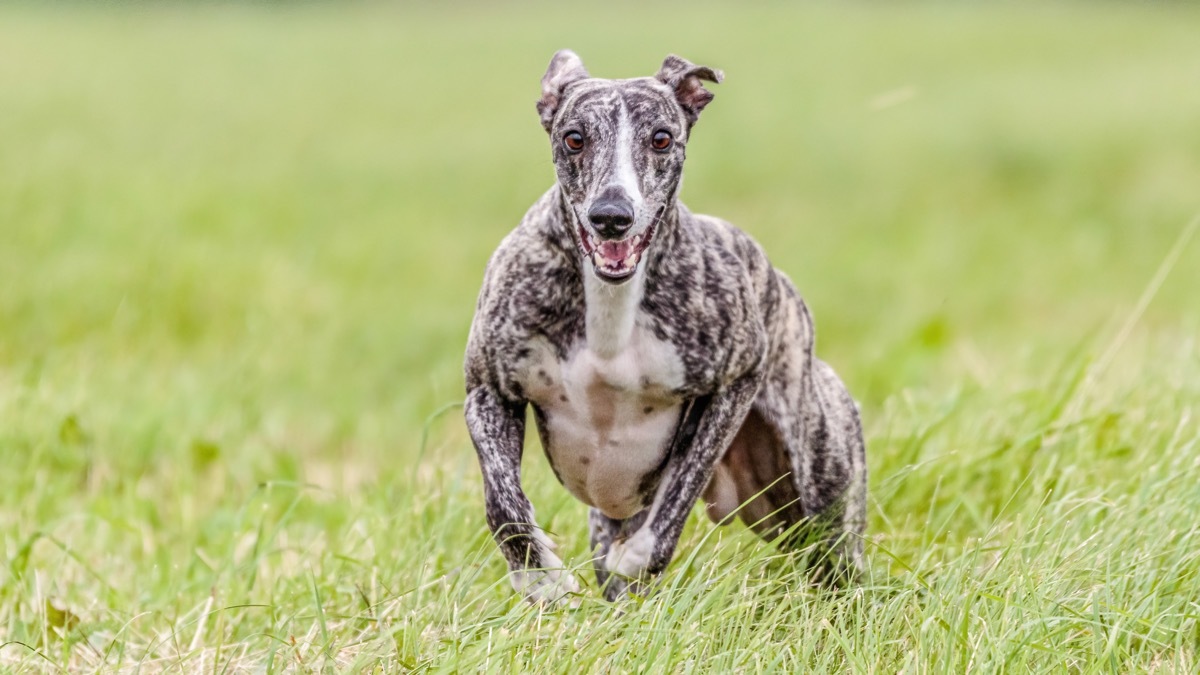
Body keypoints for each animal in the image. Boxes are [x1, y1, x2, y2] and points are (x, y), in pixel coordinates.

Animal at [463, 49, 868, 600]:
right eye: (574, 137)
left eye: (661, 138)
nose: (612, 216)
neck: (611, 299)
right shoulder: (488, 389)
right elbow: (501, 501)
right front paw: (540, 576)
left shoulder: (736, 380)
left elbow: (680, 489)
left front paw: (637, 558)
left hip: (820, 491)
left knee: (840, 560)